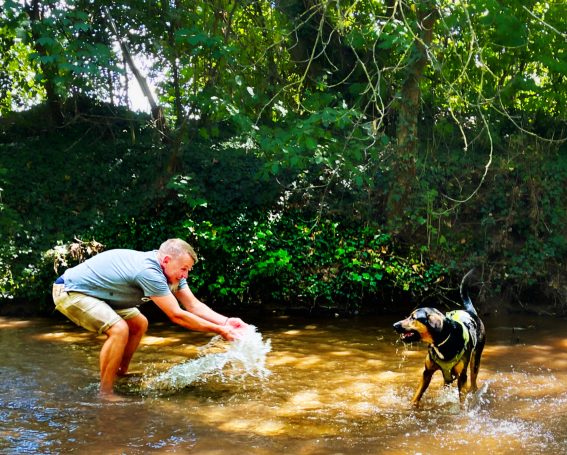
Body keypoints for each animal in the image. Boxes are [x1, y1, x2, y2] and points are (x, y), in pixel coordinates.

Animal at [392, 268, 486, 408]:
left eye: (413, 318)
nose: (394, 325)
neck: (442, 342)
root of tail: (471, 312)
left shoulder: (462, 376)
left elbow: (462, 401)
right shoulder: (427, 372)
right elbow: (417, 394)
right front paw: (411, 407)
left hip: (476, 359)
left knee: (474, 382)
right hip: (447, 377)